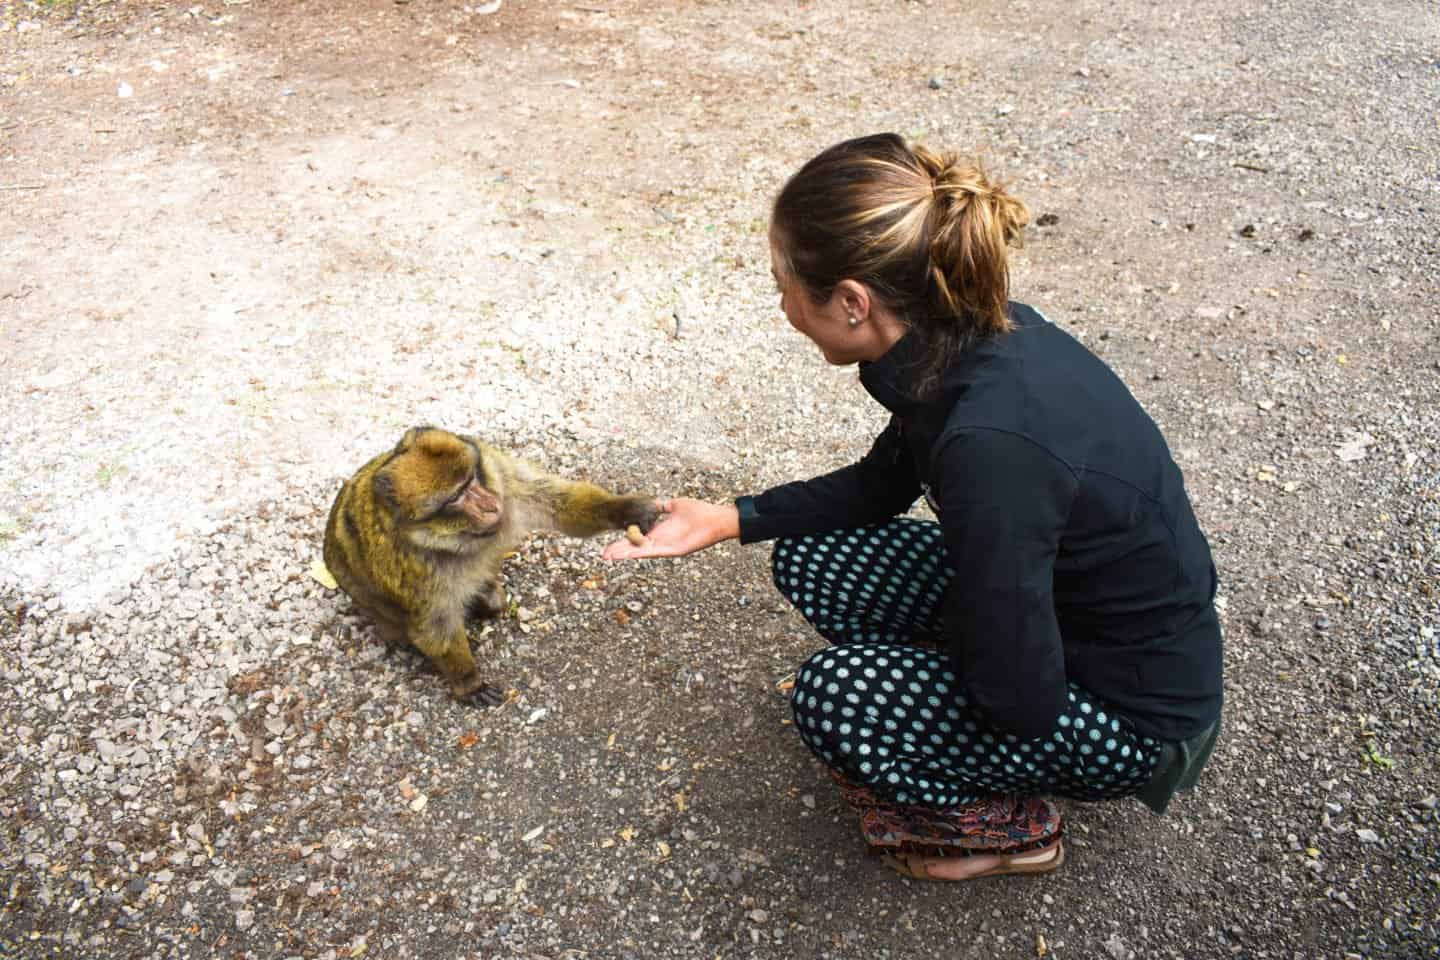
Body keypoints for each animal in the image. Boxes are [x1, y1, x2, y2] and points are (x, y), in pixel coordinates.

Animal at [324, 428, 659, 705]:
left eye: (471, 479)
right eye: (455, 498)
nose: (487, 505)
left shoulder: (501, 476)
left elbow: (558, 503)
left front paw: (626, 510)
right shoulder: (411, 564)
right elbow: (434, 626)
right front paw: (469, 682)